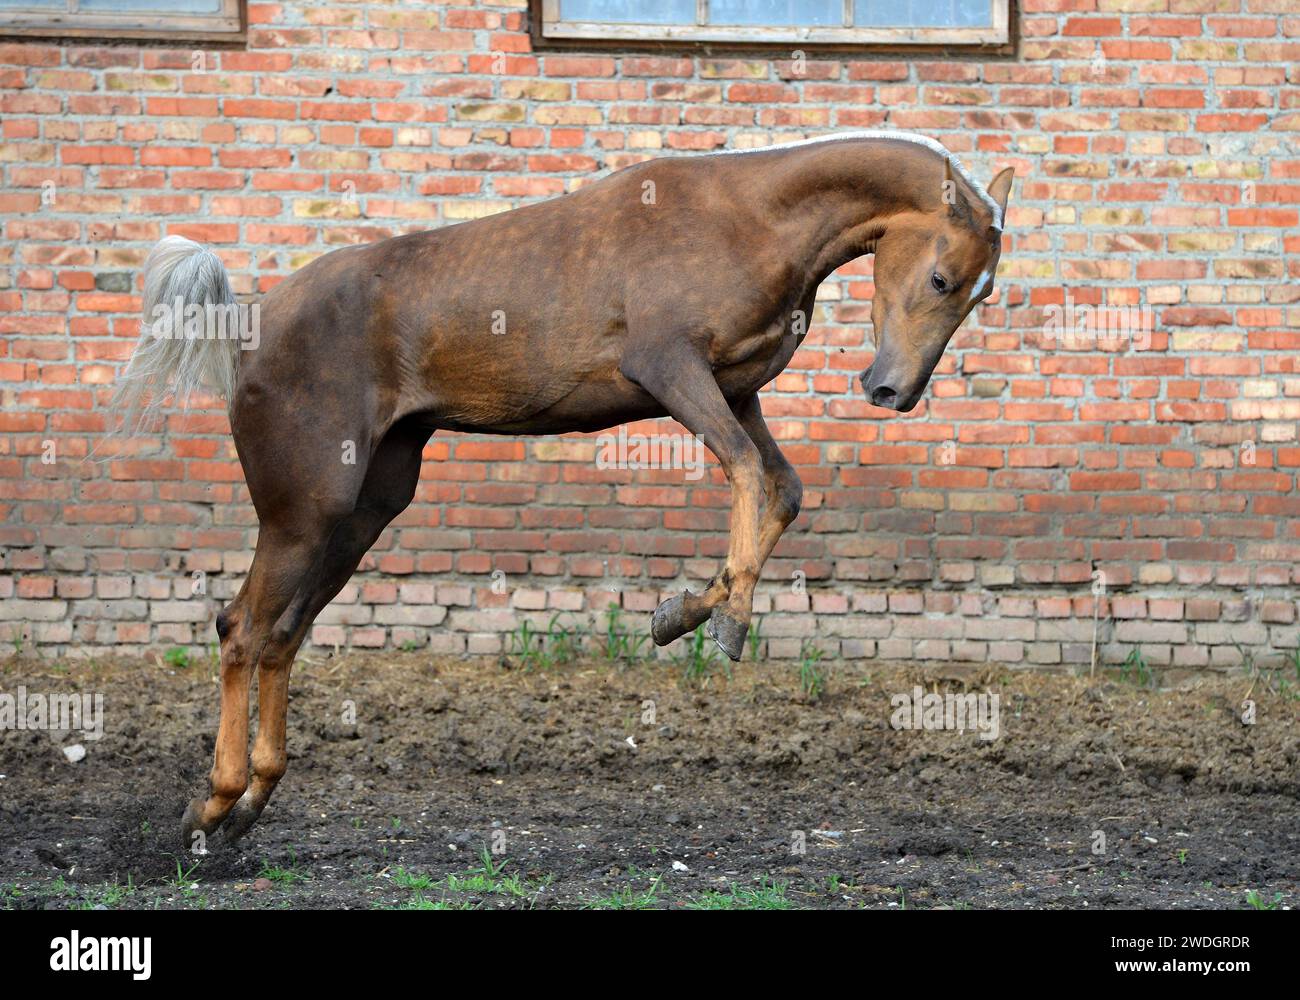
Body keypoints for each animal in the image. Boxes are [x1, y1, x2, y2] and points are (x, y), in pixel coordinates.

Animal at [112, 130, 1013, 849]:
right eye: (942, 278)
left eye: (983, 291)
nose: (891, 391)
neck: (749, 216)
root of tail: (247, 332)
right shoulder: (670, 369)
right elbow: (751, 476)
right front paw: (722, 622)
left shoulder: (735, 394)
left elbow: (780, 489)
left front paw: (682, 614)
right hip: (305, 513)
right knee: (241, 629)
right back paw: (213, 806)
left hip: (364, 511)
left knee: (281, 635)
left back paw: (248, 808)